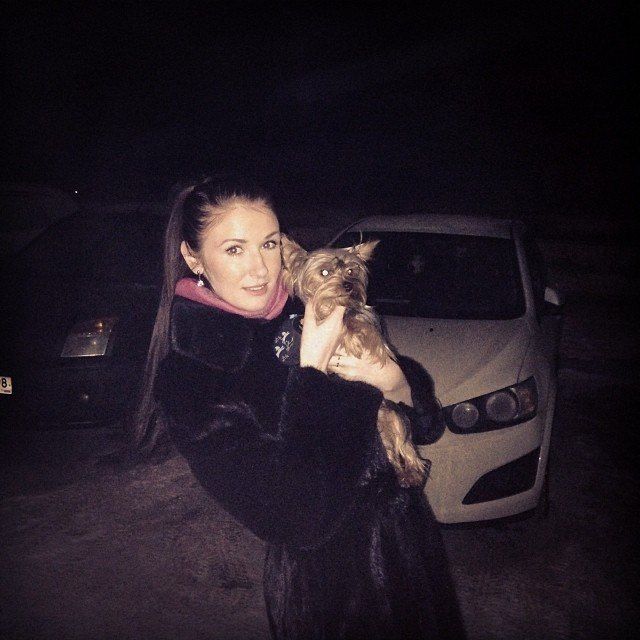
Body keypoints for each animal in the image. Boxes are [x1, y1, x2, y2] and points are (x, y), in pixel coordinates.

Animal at [281, 235, 426, 488]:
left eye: (351, 270)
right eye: (325, 272)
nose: (348, 285)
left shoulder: (372, 330)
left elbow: (359, 325)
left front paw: (352, 336)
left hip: (395, 417)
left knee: (407, 448)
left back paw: (413, 473)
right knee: (392, 455)